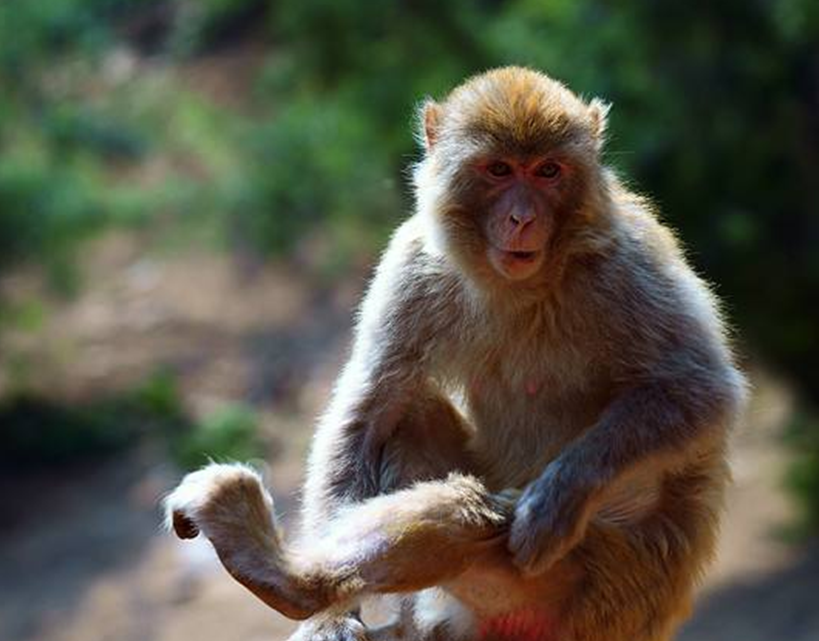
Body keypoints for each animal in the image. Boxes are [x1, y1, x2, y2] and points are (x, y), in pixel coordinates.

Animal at [165, 66, 748, 640]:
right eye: (499, 170)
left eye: (548, 171)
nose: (522, 218)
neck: (524, 284)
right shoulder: (413, 261)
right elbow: (370, 412)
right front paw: (333, 618)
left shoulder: (623, 268)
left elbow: (701, 393)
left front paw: (555, 501)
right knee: (412, 422)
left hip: (595, 589)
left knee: (475, 514)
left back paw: (285, 577)